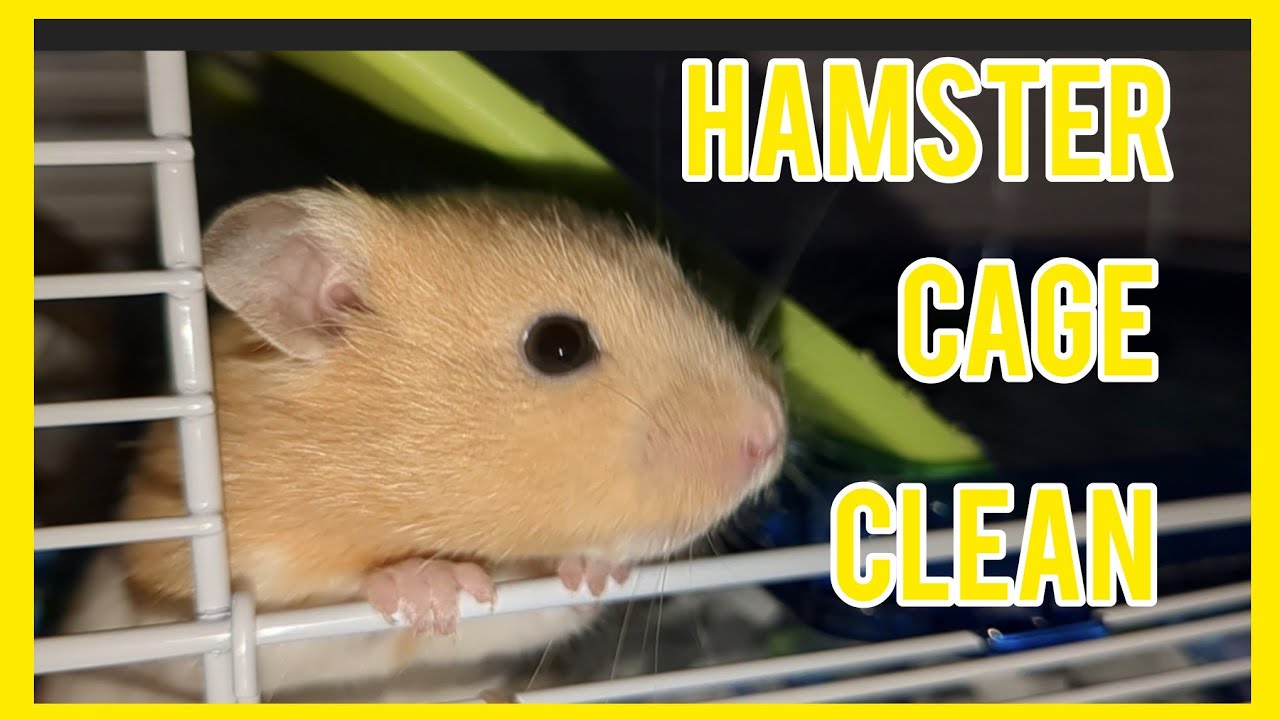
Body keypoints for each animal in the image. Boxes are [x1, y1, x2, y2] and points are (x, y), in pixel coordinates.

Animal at [37, 186, 788, 703]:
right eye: (558, 345)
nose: (773, 434)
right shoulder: (197, 611)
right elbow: (316, 621)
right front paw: (430, 584)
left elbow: (533, 612)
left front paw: (591, 570)